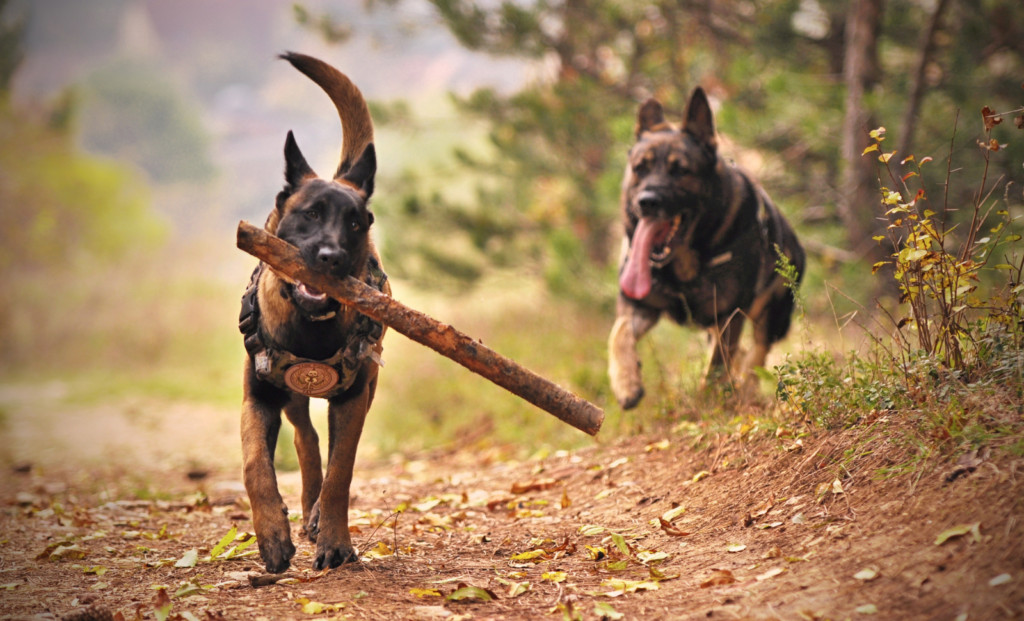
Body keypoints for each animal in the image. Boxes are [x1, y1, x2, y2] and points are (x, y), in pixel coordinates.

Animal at [602, 86, 802, 409]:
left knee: (756, 354)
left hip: (771, 316)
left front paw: (709, 402)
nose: (646, 202)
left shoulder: (729, 316)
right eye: (640, 169)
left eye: (680, 171)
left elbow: (717, 366)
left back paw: (745, 390)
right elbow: (618, 334)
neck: (681, 264)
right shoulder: (639, 306)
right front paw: (626, 382)